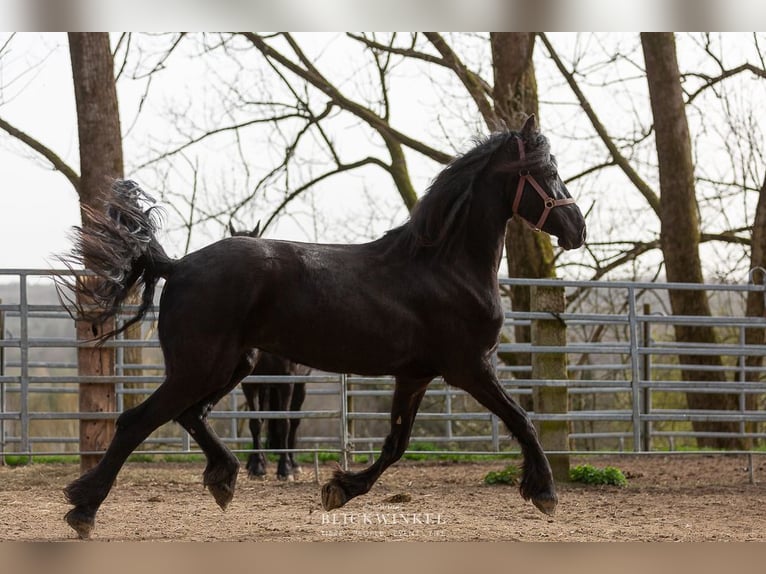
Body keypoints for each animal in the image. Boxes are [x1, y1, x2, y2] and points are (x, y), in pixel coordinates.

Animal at [228, 225, 312, 482]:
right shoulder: (251, 383)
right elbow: (256, 422)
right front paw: (257, 466)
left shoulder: (286, 381)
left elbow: (284, 423)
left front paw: (285, 469)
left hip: (300, 383)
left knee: (294, 421)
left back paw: (293, 463)